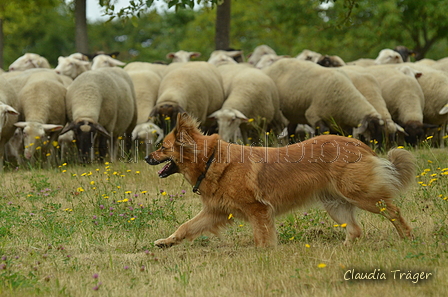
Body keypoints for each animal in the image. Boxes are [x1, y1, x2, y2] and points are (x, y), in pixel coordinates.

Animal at [145, 112, 414, 246]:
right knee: (356, 229)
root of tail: (359, 145)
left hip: (360, 195)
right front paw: (166, 242)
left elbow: (262, 237)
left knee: (393, 211)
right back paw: (345, 249)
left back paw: (407, 237)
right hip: (335, 204)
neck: (211, 159)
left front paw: (265, 255)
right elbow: (185, 227)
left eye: (162, 147)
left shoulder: (258, 210)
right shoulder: (215, 212)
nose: (147, 157)